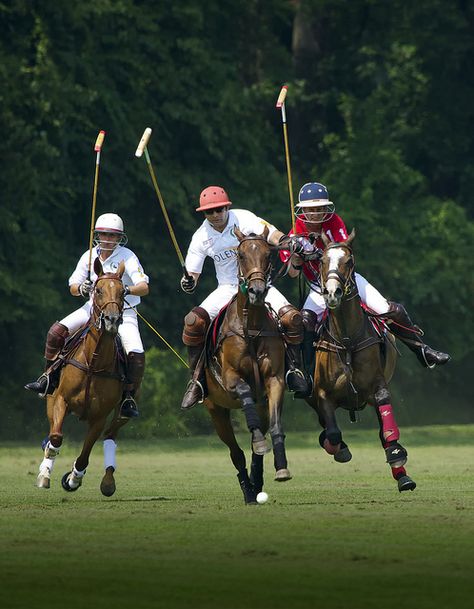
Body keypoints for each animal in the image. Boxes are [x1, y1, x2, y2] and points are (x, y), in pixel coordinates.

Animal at [37, 258, 130, 496]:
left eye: (123, 291)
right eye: (97, 290)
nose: (111, 320)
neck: (93, 363)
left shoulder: (100, 416)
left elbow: (85, 454)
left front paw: (73, 478)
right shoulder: (61, 400)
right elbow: (56, 437)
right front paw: (46, 473)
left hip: (120, 415)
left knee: (111, 435)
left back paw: (108, 481)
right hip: (50, 399)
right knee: (52, 432)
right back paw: (44, 471)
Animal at [206, 228, 290, 504]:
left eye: (268, 255)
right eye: (240, 255)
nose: (257, 291)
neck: (250, 326)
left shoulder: (274, 380)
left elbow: (275, 425)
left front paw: (282, 467)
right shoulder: (230, 378)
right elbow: (244, 391)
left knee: (253, 449)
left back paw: (256, 482)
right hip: (215, 409)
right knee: (235, 452)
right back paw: (248, 489)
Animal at [308, 230, 414, 492]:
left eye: (349, 261)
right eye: (322, 261)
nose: (332, 293)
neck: (347, 340)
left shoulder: (377, 387)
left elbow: (387, 431)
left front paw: (397, 456)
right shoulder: (322, 394)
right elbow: (333, 434)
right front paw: (338, 449)